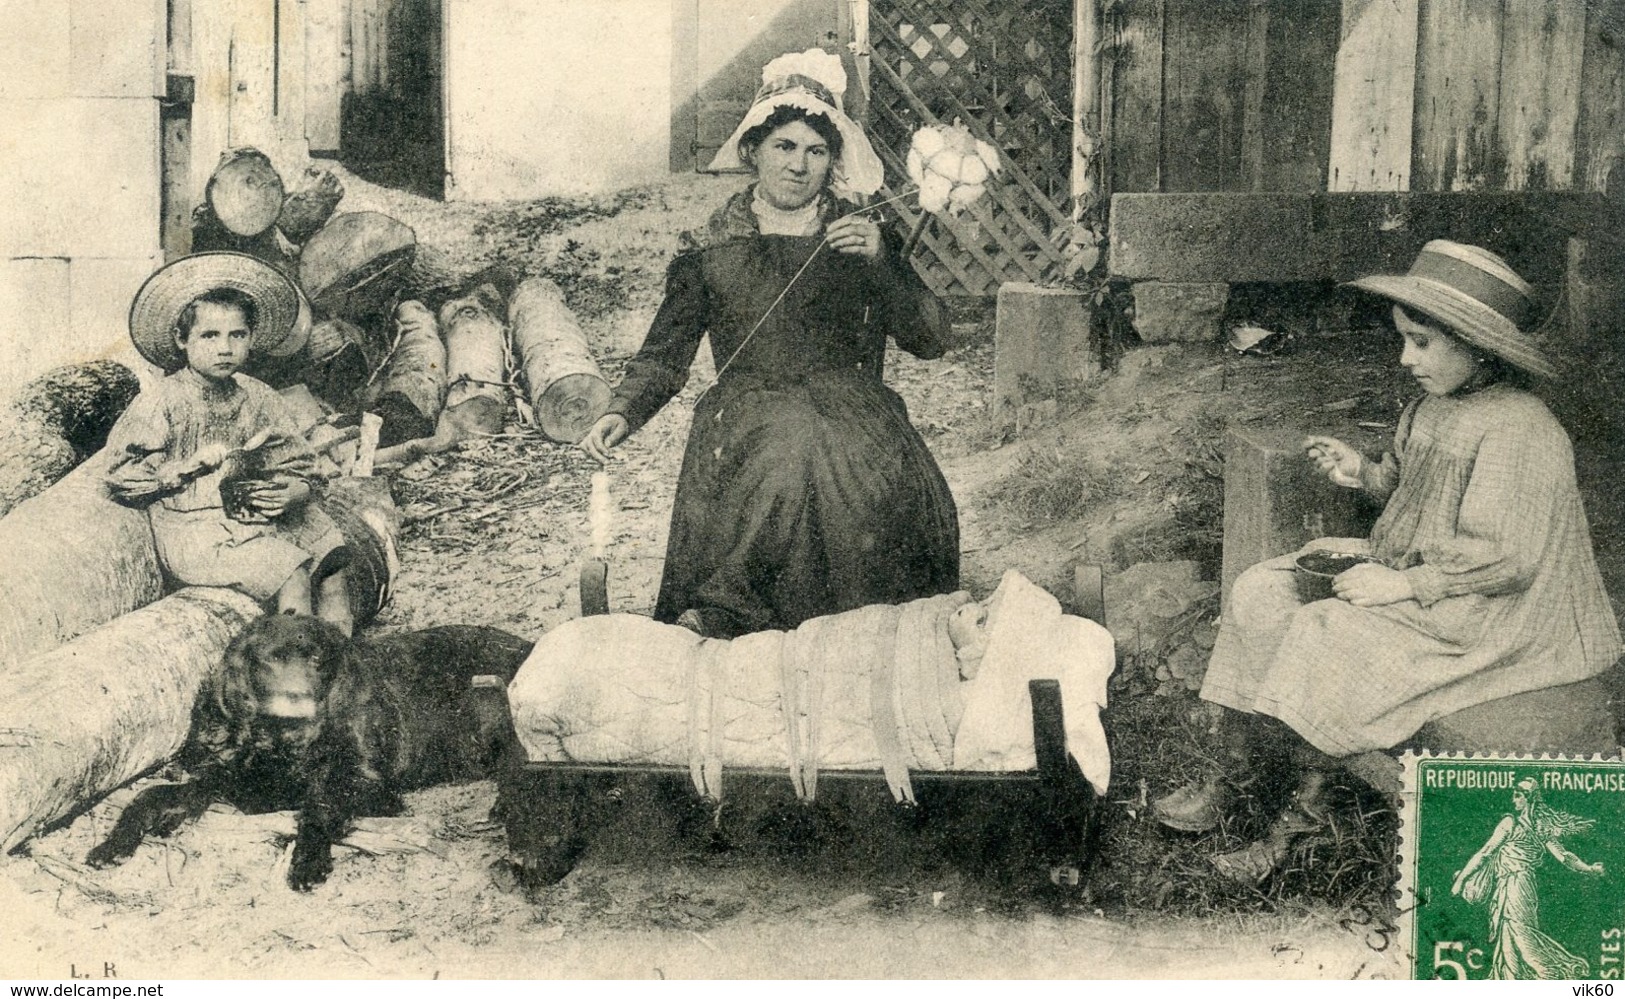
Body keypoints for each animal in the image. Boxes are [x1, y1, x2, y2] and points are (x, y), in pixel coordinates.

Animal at [85, 617, 533, 890]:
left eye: (318, 658)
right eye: (269, 659)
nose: (299, 700)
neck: (286, 742)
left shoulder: (372, 786)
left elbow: (317, 806)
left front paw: (308, 862)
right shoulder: (229, 777)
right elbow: (149, 796)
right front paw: (113, 845)